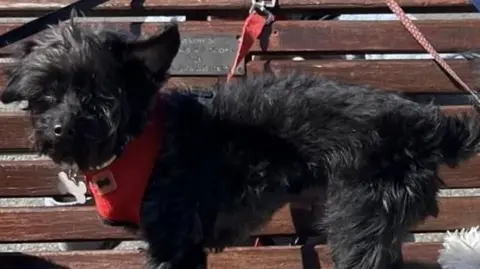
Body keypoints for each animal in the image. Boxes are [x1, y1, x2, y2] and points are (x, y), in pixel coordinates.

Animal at [0, 17, 480, 268]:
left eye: (99, 96)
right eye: (45, 92)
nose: (59, 129)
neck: (137, 142)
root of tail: (426, 124)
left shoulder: (174, 238)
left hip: (360, 217)